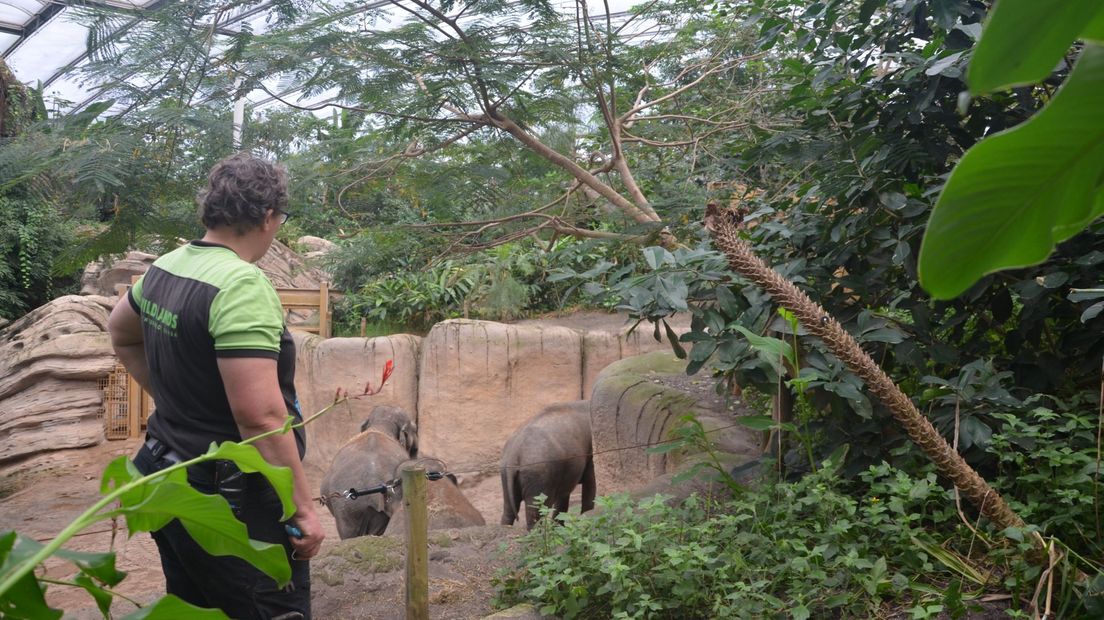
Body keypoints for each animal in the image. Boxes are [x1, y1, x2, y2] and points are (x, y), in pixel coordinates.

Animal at [501, 397, 596, 529]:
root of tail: (514, 454)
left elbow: (563, 498)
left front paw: (560, 528)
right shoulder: (590, 452)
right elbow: (590, 483)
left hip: (506, 473)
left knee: (508, 509)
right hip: (538, 475)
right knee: (537, 512)